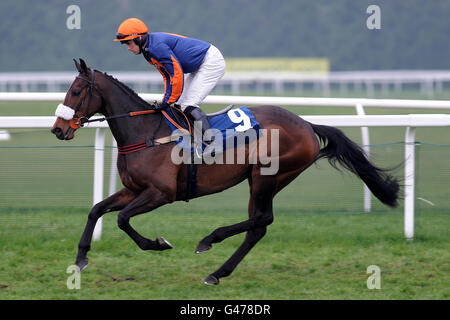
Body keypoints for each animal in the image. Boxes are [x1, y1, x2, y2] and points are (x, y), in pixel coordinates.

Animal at [51, 58, 400, 284]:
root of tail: (306, 124)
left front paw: (159, 243)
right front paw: (81, 258)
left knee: (262, 219)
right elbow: (97, 210)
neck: (145, 133)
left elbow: (123, 220)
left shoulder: (161, 193)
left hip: (266, 176)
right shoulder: (134, 189)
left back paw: (210, 240)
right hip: (262, 180)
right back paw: (217, 272)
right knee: (258, 227)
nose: (57, 129)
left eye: (77, 91)